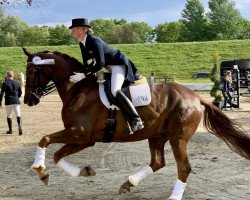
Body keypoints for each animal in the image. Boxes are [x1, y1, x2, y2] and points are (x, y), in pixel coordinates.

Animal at [22, 47, 250, 199]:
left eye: (32, 71)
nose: (28, 100)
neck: (77, 90)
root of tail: (195, 97)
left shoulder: (80, 133)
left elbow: (45, 139)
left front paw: (39, 170)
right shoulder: (84, 139)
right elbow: (57, 155)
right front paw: (83, 172)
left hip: (178, 137)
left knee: (183, 167)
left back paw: (173, 196)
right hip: (157, 135)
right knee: (158, 162)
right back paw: (128, 183)